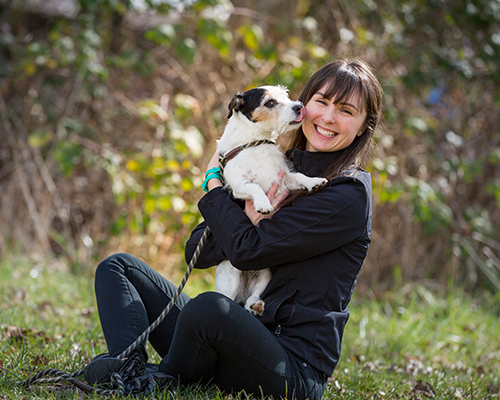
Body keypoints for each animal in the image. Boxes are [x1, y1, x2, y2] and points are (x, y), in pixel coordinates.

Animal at [214, 85, 328, 316]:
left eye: (285, 96)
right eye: (270, 103)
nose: (300, 106)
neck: (255, 144)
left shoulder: (285, 178)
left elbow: (300, 176)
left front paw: (314, 182)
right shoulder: (238, 185)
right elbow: (256, 187)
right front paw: (263, 204)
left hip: (264, 277)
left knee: (253, 298)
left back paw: (255, 306)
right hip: (229, 278)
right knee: (227, 297)